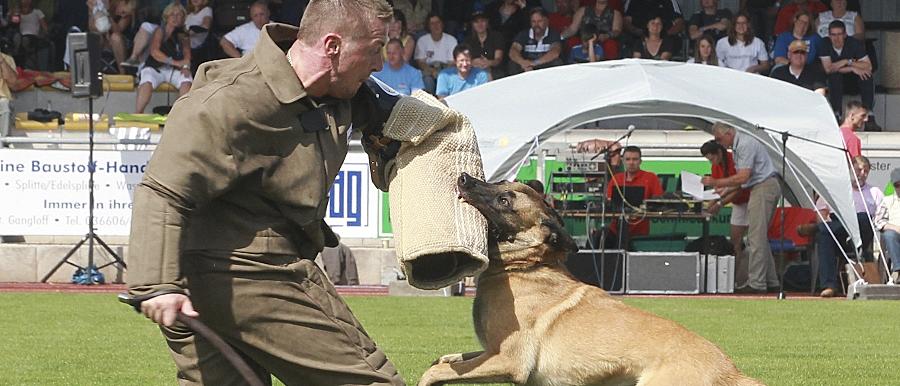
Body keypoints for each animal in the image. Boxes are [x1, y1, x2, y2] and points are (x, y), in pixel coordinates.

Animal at [418, 174, 764, 386]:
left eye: (505, 201)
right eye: (499, 182)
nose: (463, 177)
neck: (525, 266)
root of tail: (732, 373)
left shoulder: (510, 361)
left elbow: (436, 370)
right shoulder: (491, 353)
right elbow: (448, 359)